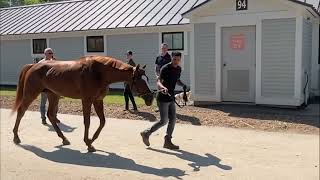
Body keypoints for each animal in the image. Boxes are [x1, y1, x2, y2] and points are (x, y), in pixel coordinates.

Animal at [11, 55, 154, 151]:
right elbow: (87, 122)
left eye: (146, 78)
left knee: (51, 115)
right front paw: (88, 143)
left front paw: (91, 140)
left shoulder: (98, 100)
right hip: (31, 94)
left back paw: (64, 139)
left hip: (53, 95)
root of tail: (33, 66)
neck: (99, 73)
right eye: (141, 81)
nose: (151, 98)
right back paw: (16, 137)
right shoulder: (87, 100)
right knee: (21, 111)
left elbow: (102, 121)